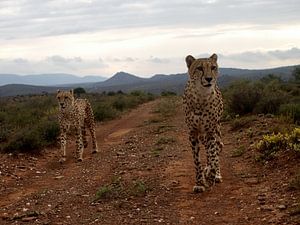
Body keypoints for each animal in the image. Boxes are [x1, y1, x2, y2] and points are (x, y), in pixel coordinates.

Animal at [183, 53, 223, 192]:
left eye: (213, 67)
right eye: (199, 68)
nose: (209, 78)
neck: (201, 97)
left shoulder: (210, 131)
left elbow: (213, 155)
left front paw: (211, 174)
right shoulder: (193, 133)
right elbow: (197, 161)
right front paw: (200, 183)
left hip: (216, 129)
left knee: (217, 149)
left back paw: (216, 174)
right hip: (202, 135)